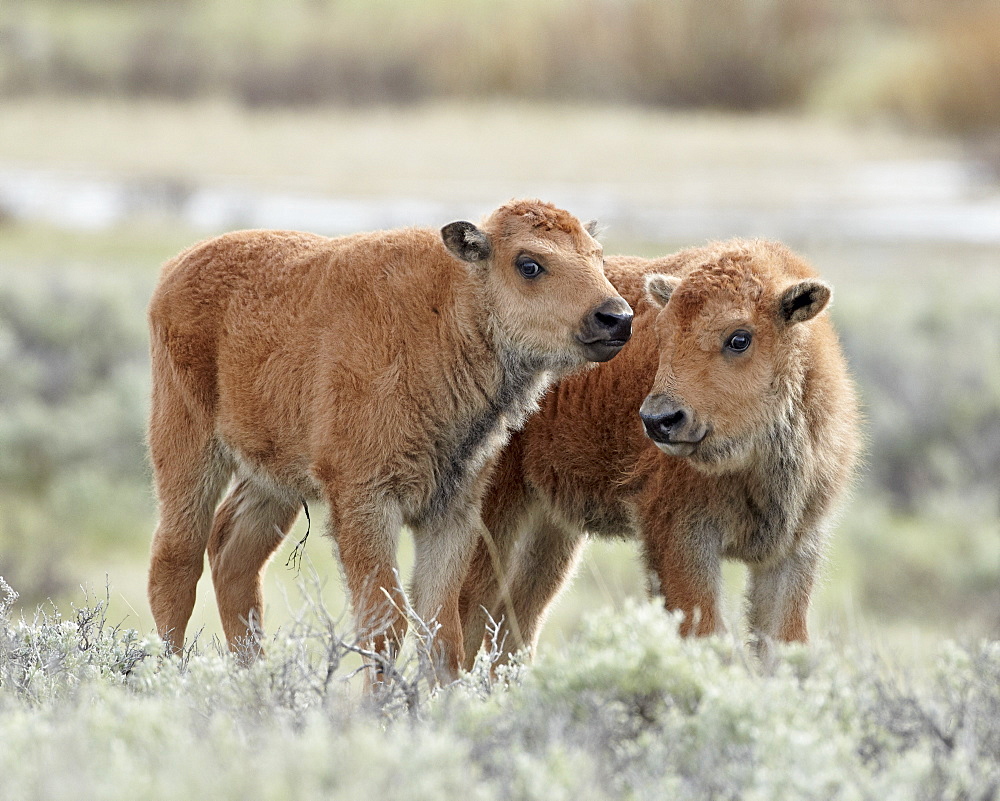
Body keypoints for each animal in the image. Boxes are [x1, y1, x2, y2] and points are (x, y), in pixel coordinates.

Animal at [146, 198, 632, 676]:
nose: (617, 317)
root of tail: (174, 268)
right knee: (175, 562)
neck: (451, 313)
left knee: (234, 557)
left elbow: (443, 634)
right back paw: (173, 674)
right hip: (188, 445)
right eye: (529, 264)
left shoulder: (453, 512)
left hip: (273, 477)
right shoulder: (366, 503)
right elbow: (385, 625)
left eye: (597, 256)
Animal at [460, 238, 860, 664]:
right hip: (493, 509)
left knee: (517, 617)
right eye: (662, 333)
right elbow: (705, 634)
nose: (659, 419)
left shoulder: (795, 549)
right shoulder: (681, 535)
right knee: (467, 608)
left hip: (552, 526)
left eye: (740, 338)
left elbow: (783, 644)